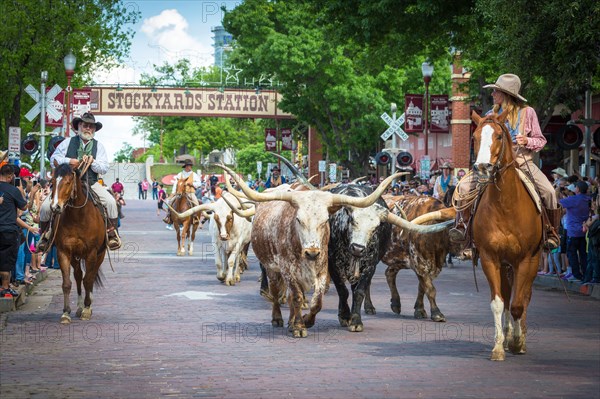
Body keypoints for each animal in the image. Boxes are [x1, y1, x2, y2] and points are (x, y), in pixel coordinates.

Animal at [48, 163, 107, 324]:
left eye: (68, 182)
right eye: (52, 182)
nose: (55, 207)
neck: (77, 218)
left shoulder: (92, 252)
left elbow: (88, 281)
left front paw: (87, 309)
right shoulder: (63, 252)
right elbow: (67, 284)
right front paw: (65, 313)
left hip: (100, 255)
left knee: (90, 276)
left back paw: (87, 305)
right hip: (75, 257)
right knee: (79, 276)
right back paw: (79, 306)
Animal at [468, 110, 544, 362]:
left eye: (499, 136)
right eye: (474, 137)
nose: (483, 167)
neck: (506, 205)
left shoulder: (526, 259)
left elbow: (519, 304)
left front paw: (518, 342)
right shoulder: (490, 258)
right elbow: (499, 303)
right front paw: (499, 346)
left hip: (530, 262)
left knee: (524, 297)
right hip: (505, 264)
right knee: (509, 297)